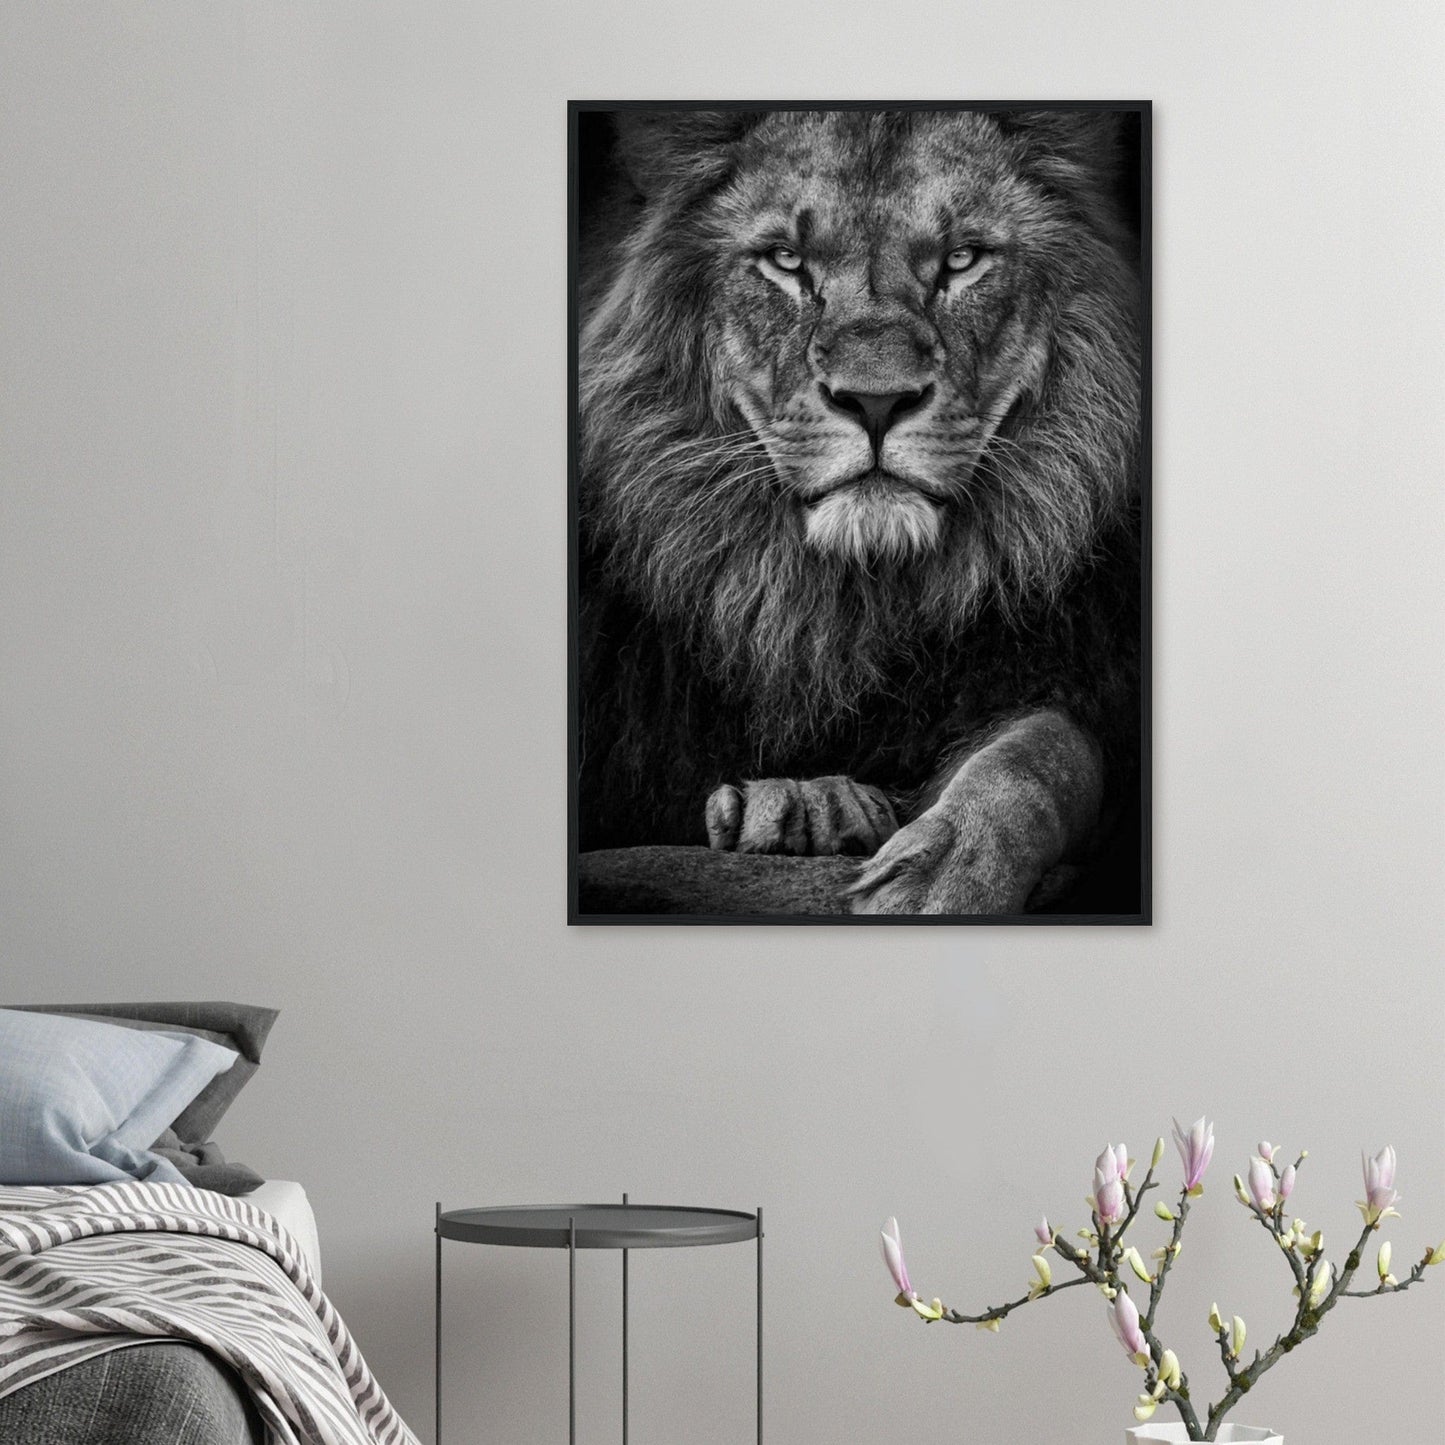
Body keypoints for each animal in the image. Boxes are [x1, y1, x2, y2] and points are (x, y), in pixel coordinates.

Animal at [576, 108, 1142, 916]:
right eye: (784, 261)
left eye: (962, 260)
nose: (876, 401)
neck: (838, 607)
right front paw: (797, 809)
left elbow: (1042, 753)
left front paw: (946, 873)